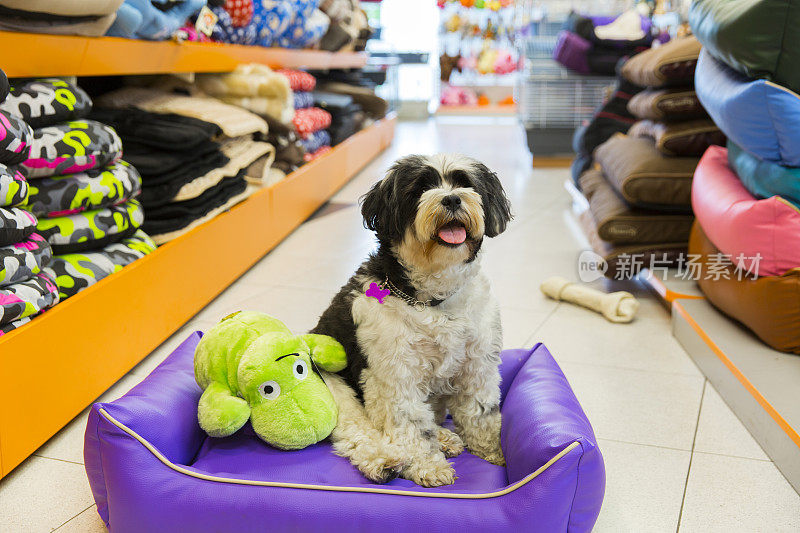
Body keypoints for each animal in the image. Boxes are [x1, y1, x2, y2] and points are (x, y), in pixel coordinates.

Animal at [312, 154, 512, 486]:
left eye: (464, 183)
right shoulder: (395, 375)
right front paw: (426, 465)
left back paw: (445, 437)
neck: (434, 300)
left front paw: (494, 451)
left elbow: (481, 412)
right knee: (356, 430)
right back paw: (385, 461)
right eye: (420, 189)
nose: (452, 198)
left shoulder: (477, 364)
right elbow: (410, 424)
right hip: (330, 385)